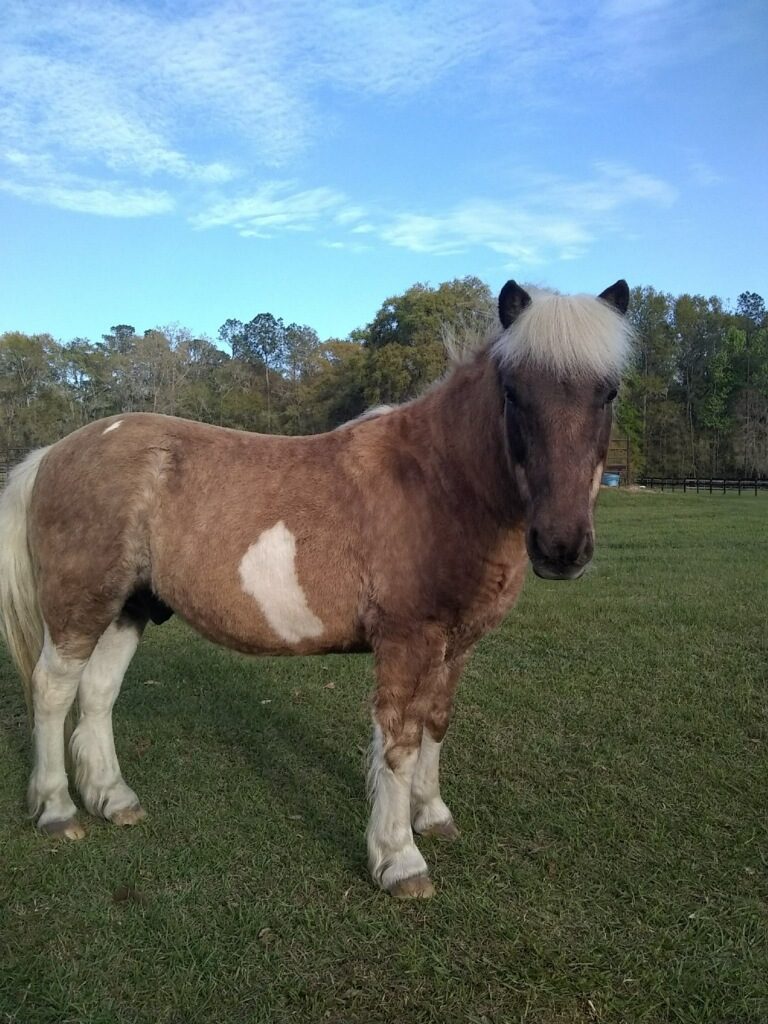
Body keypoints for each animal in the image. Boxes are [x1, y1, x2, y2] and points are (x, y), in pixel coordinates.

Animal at [0, 278, 630, 897]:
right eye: (513, 392)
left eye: (609, 393)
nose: (562, 547)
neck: (437, 485)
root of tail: (53, 453)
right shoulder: (407, 643)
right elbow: (399, 744)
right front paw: (399, 859)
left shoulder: (456, 647)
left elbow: (435, 725)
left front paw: (432, 814)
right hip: (80, 608)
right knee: (53, 692)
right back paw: (57, 810)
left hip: (128, 607)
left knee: (98, 693)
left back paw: (114, 799)